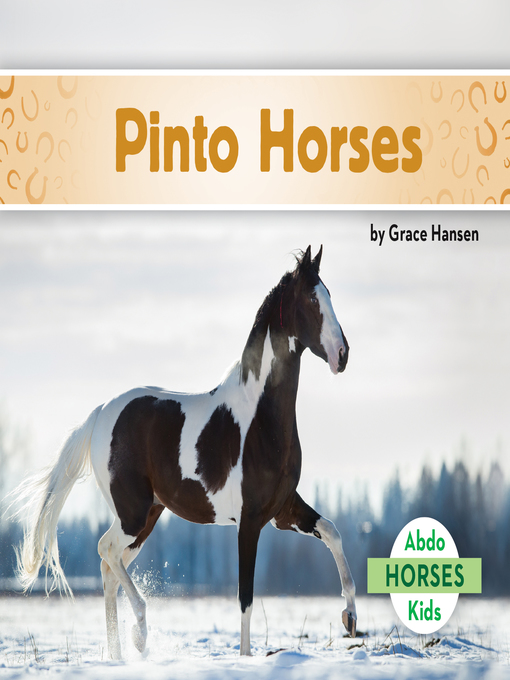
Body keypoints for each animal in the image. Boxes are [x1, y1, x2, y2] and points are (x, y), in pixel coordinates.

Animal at [12, 245, 357, 659]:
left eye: (330, 296)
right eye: (311, 300)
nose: (343, 354)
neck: (261, 418)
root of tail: (100, 414)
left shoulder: (282, 509)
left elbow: (332, 531)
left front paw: (349, 618)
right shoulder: (249, 521)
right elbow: (245, 597)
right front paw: (245, 658)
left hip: (146, 516)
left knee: (108, 566)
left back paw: (117, 655)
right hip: (133, 515)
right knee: (105, 550)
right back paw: (139, 633)